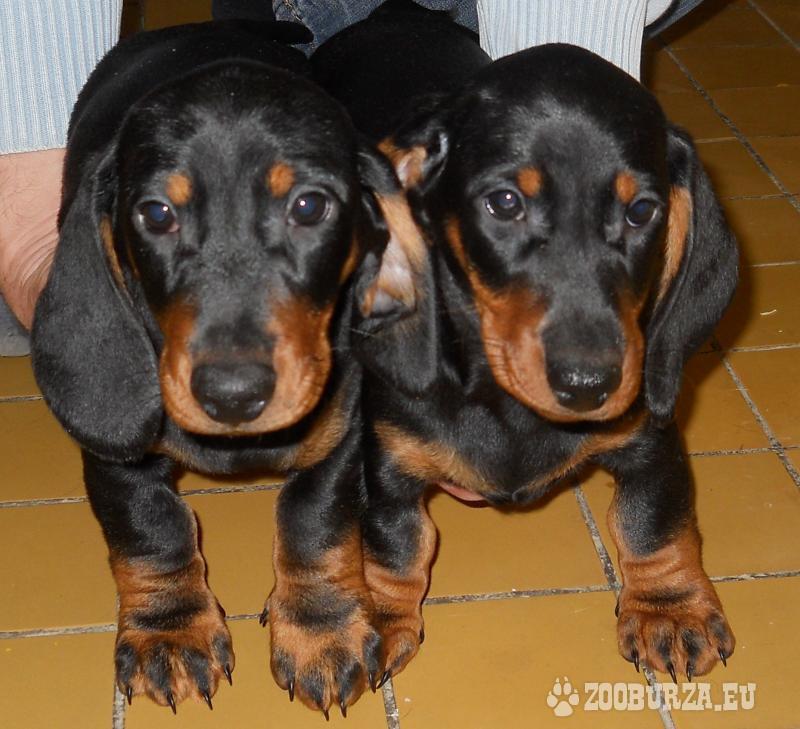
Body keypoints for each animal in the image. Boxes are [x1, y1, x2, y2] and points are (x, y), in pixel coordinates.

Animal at [31, 19, 423, 715]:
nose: (233, 395)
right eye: (156, 214)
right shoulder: (117, 459)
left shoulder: (338, 437)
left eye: (309, 207)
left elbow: (314, 524)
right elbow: (150, 528)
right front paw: (170, 631)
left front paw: (320, 631)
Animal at [313, 0, 739, 691]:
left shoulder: (651, 439)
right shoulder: (390, 466)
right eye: (504, 202)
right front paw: (373, 614)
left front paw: (669, 610)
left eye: (642, 212)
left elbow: (654, 524)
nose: (589, 386)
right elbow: (397, 546)